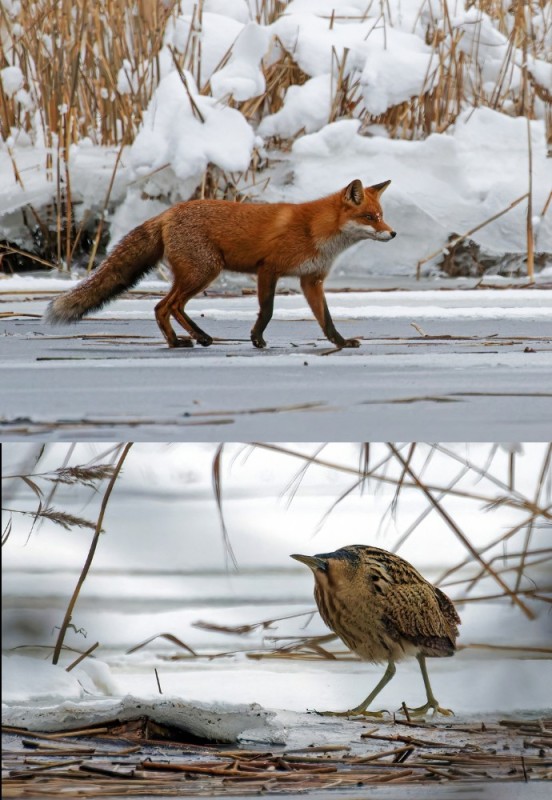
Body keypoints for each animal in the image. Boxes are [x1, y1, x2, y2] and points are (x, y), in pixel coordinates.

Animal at [45, 181, 394, 350]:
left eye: (381, 215)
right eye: (370, 217)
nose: (392, 233)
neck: (315, 231)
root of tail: (169, 212)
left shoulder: (311, 280)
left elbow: (326, 320)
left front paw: (340, 343)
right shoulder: (268, 269)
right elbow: (267, 311)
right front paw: (257, 340)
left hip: (197, 274)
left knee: (165, 307)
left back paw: (184, 340)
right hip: (204, 272)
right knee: (166, 305)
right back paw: (188, 339)